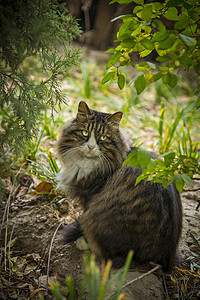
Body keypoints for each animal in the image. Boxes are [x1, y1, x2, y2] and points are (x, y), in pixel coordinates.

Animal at [57, 101, 182, 272]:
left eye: (103, 137)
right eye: (84, 133)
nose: (90, 147)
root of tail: (165, 258)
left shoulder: (90, 198)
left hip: (97, 220)